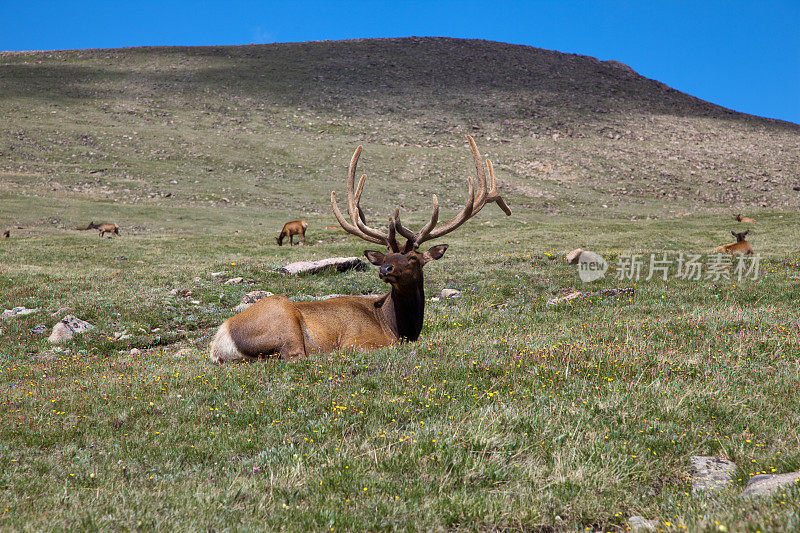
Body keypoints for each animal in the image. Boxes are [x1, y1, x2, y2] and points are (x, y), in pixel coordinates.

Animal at [211, 135, 512, 364]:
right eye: (387, 256)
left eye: (413, 258)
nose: (385, 269)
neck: (399, 327)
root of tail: (220, 340)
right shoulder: (359, 340)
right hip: (284, 321)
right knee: (294, 355)